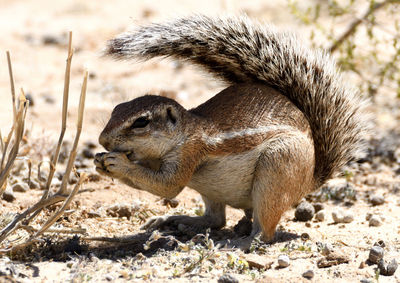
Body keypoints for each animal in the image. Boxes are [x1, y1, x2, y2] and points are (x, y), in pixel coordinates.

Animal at [94, 15, 368, 248]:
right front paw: (99, 162)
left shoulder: (189, 152)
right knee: (216, 220)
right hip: (212, 190)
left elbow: (167, 186)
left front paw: (118, 164)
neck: (183, 132)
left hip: (277, 169)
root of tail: (311, 177)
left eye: (141, 122)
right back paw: (173, 220)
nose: (102, 140)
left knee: (265, 230)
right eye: (116, 109)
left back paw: (243, 241)